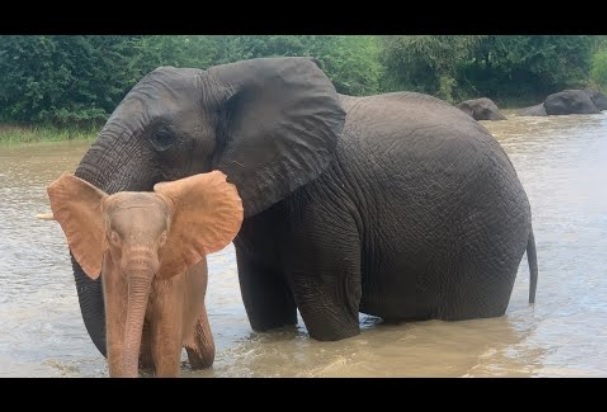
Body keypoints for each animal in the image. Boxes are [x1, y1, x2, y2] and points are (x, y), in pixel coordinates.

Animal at [45, 171, 245, 376]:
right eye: (114, 238)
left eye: (163, 238)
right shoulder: (113, 275)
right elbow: (118, 345)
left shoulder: (172, 280)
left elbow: (165, 347)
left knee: (205, 355)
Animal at [69, 56, 540, 356]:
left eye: (162, 136)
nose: (184, 358)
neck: (219, 80)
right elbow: (262, 303)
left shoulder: (322, 198)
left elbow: (326, 304)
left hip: (488, 237)